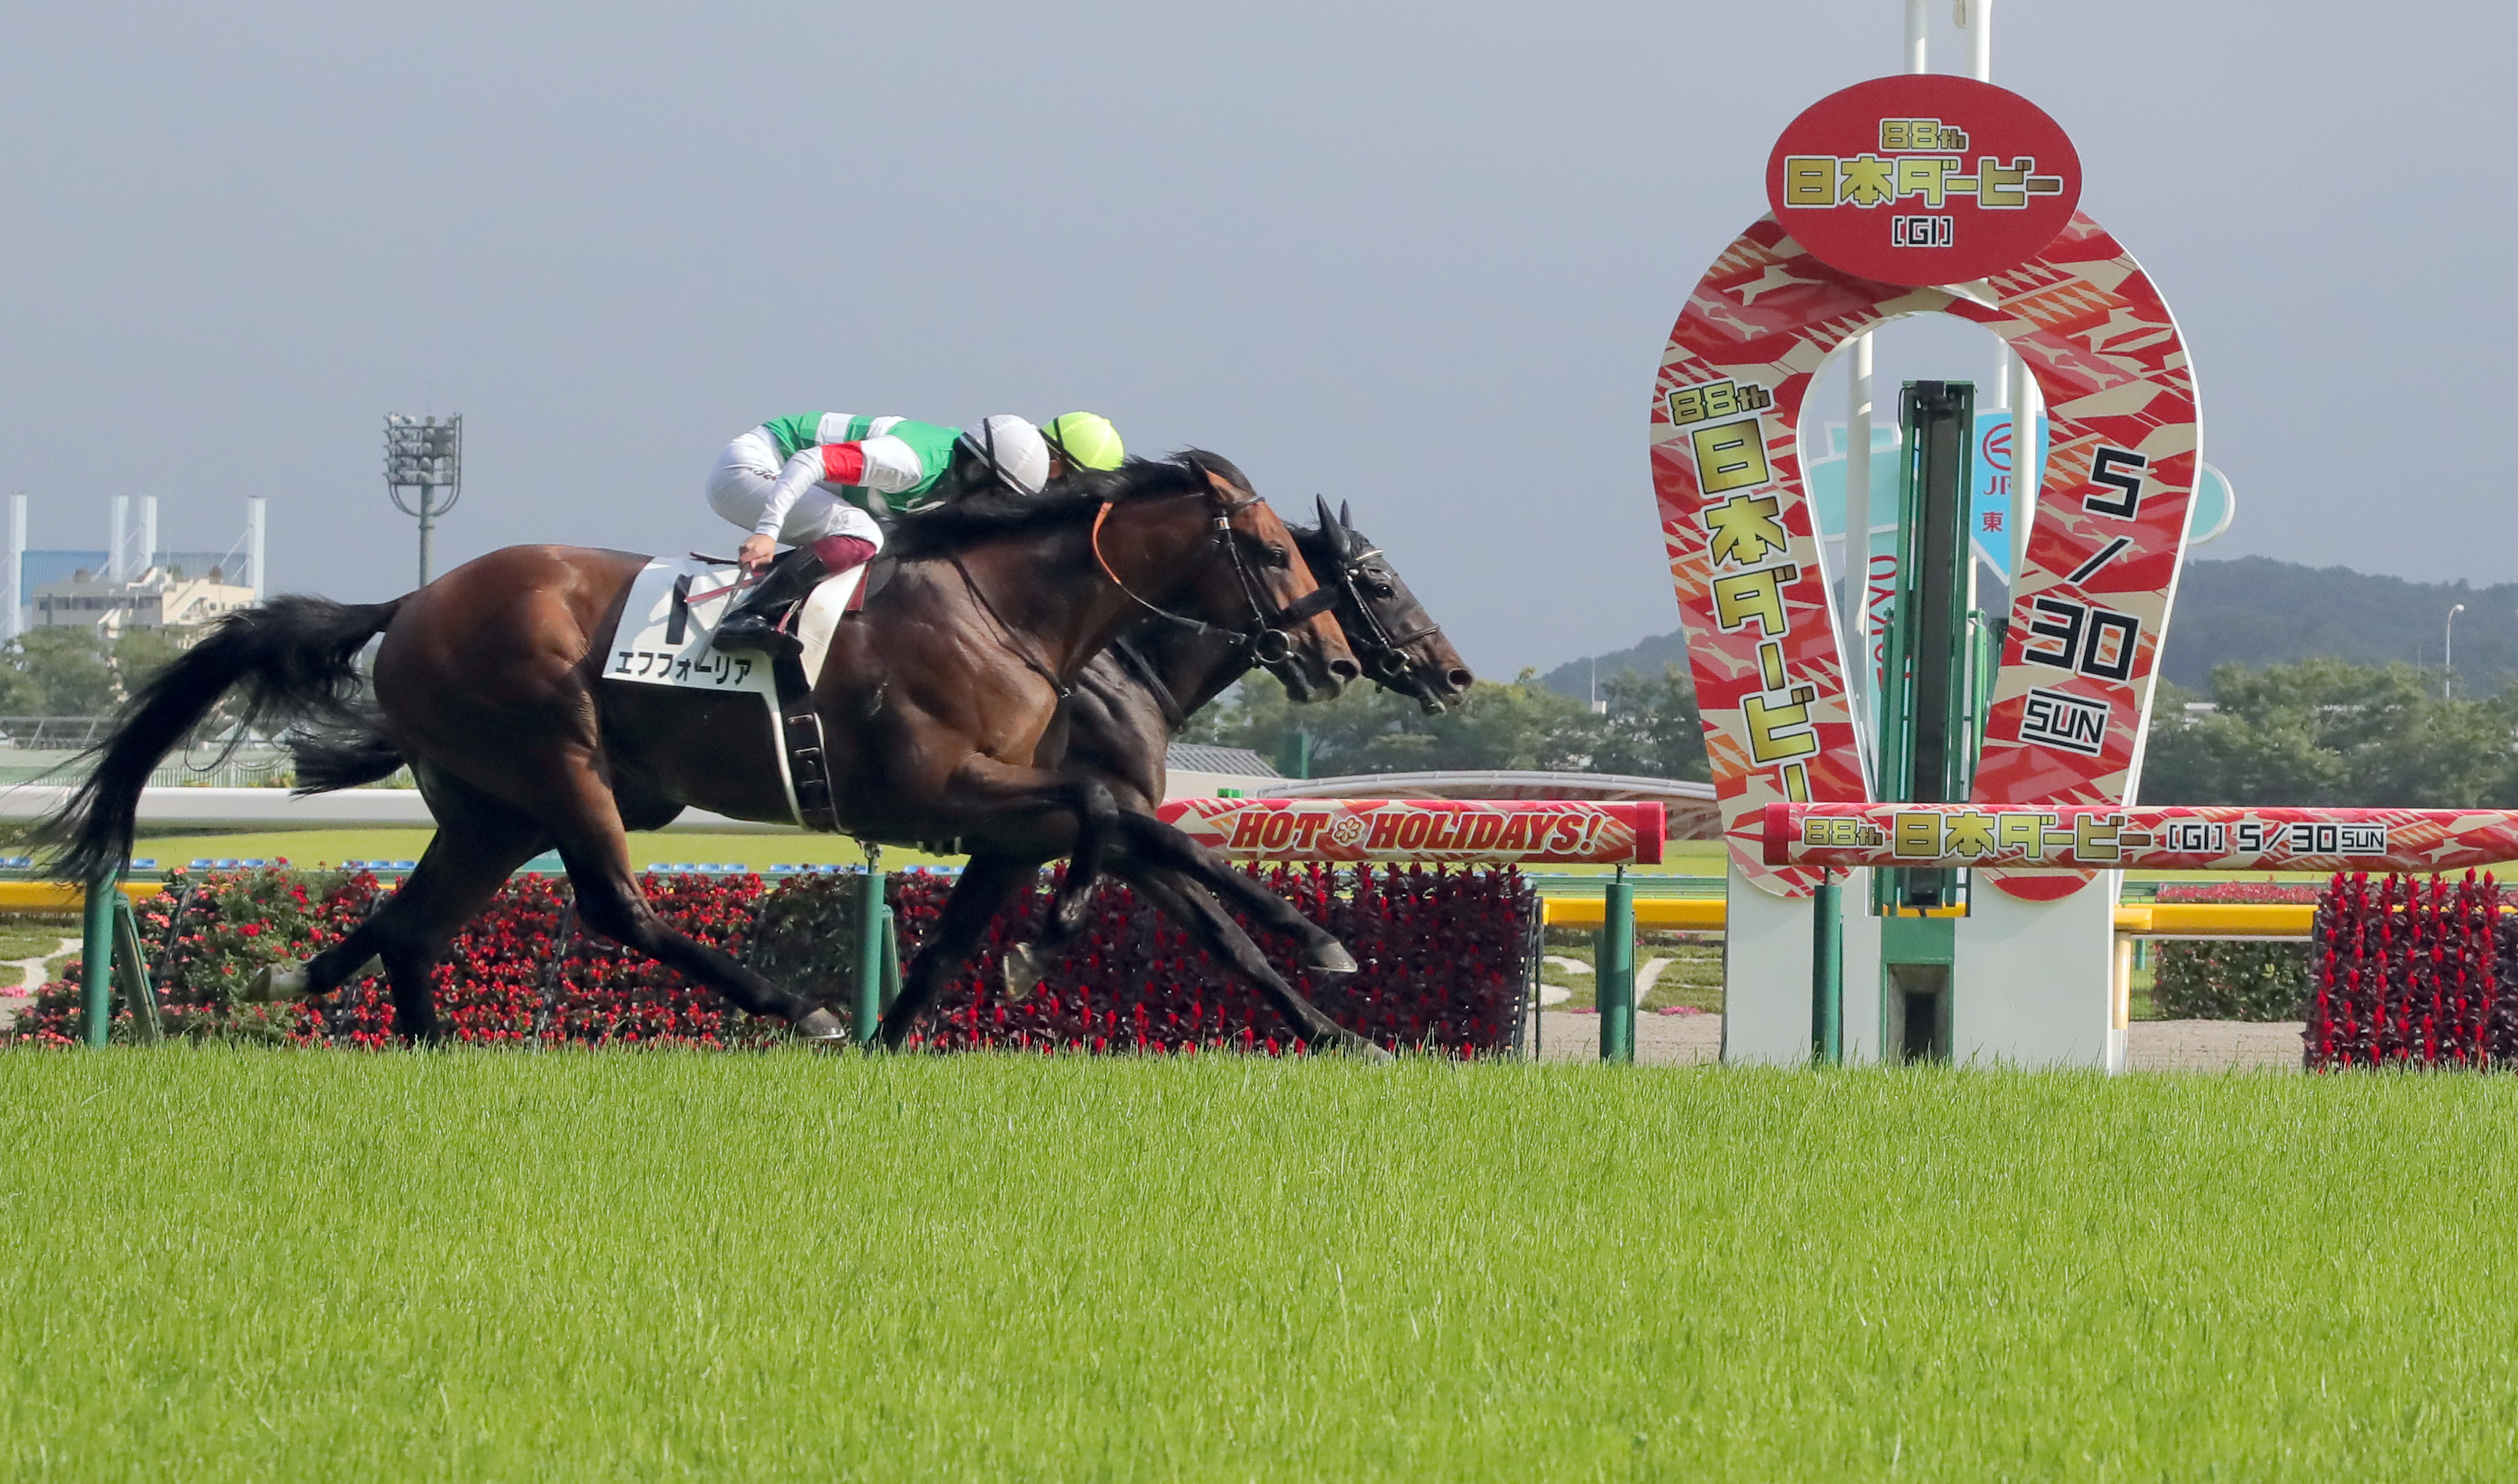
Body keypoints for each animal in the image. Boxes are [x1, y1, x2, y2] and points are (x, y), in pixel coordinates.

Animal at [44, 453, 1359, 1046]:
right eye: (1275, 553)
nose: (1340, 658)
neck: (1004, 610)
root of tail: (411, 602)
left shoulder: (988, 803)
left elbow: (1132, 838)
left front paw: (1319, 967)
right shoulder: (946, 784)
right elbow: (1114, 819)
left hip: (493, 804)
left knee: (418, 925)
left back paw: (392, 1029)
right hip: (559, 759)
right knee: (615, 906)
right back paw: (796, 1008)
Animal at [881, 495, 1470, 1051]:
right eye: (1381, 586)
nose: (1456, 674)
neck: (1129, 680)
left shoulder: (1022, 844)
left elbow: (940, 954)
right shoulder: (1091, 830)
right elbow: (1219, 913)